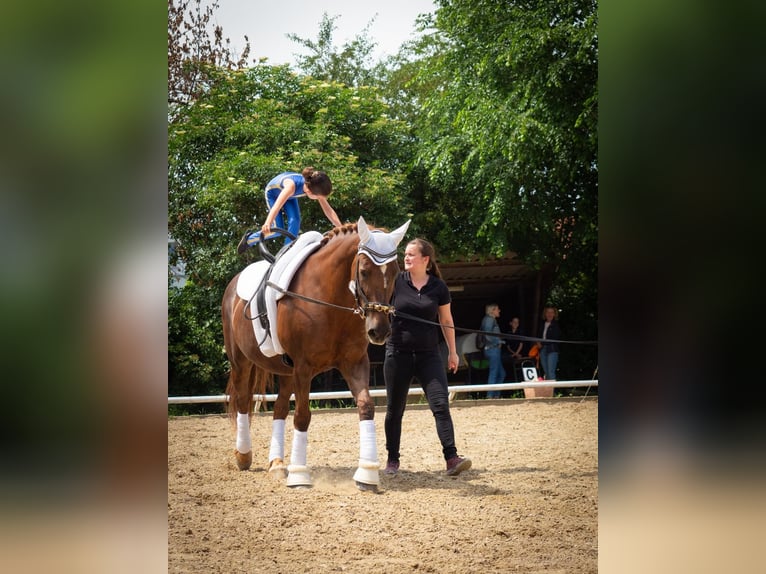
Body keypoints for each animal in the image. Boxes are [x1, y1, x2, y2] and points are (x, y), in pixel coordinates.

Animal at [222, 218, 412, 492]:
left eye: (396, 273)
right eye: (364, 271)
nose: (380, 331)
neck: (330, 299)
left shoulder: (355, 363)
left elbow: (366, 406)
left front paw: (367, 474)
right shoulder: (304, 367)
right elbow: (302, 416)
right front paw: (300, 475)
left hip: (285, 371)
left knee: (279, 408)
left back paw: (277, 464)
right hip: (241, 361)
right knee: (242, 400)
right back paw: (244, 455)